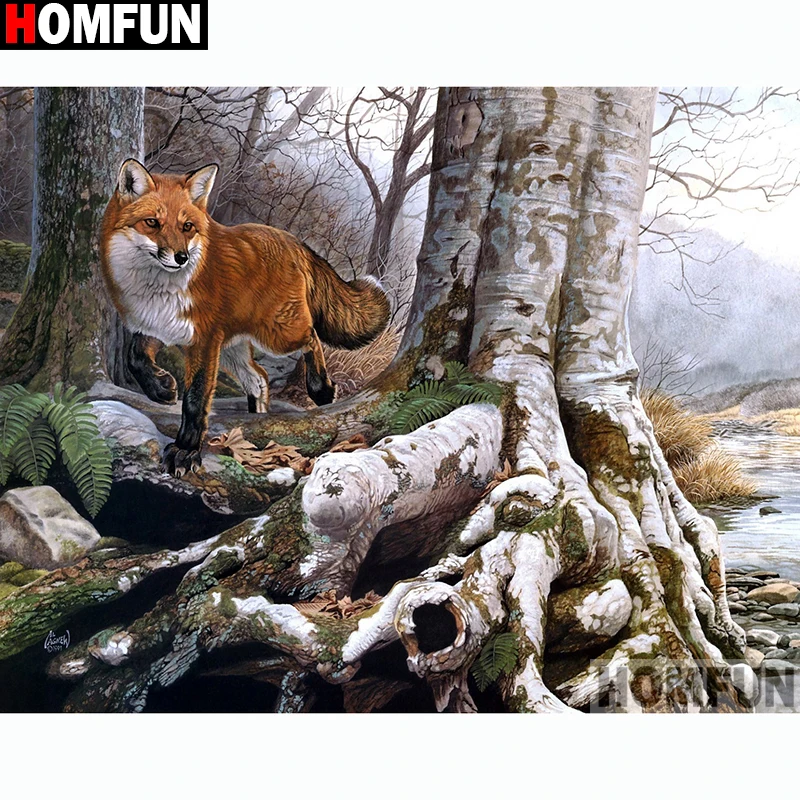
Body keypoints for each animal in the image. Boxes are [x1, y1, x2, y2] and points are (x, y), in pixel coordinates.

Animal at [100, 159, 390, 477]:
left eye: (187, 227)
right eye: (152, 223)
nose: (181, 257)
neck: (158, 290)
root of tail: (292, 240)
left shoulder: (203, 340)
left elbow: (195, 399)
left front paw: (186, 451)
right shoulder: (160, 327)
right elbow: (135, 357)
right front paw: (162, 389)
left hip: (277, 334)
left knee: (312, 338)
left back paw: (321, 389)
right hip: (231, 347)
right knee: (259, 378)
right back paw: (257, 418)